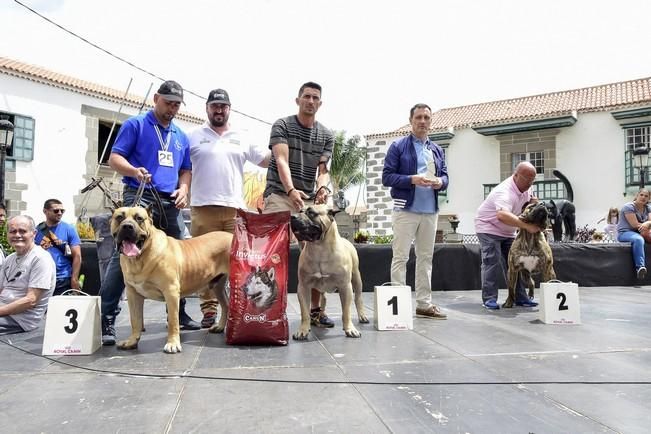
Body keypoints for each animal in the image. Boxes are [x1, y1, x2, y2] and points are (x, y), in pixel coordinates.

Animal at [111, 206, 232, 352]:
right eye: (119, 217)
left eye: (139, 218)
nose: (127, 226)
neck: (139, 259)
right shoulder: (133, 294)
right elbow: (135, 320)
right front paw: (132, 341)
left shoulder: (171, 292)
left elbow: (173, 321)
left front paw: (173, 344)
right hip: (217, 286)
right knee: (226, 305)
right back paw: (219, 327)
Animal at [290, 205, 366, 340]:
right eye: (300, 211)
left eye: (311, 212)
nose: (292, 217)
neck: (320, 248)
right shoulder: (303, 287)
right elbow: (305, 312)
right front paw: (303, 330)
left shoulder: (345, 287)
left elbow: (346, 311)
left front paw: (350, 329)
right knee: (322, 301)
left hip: (356, 278)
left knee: (358, 298)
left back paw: (362, 315)